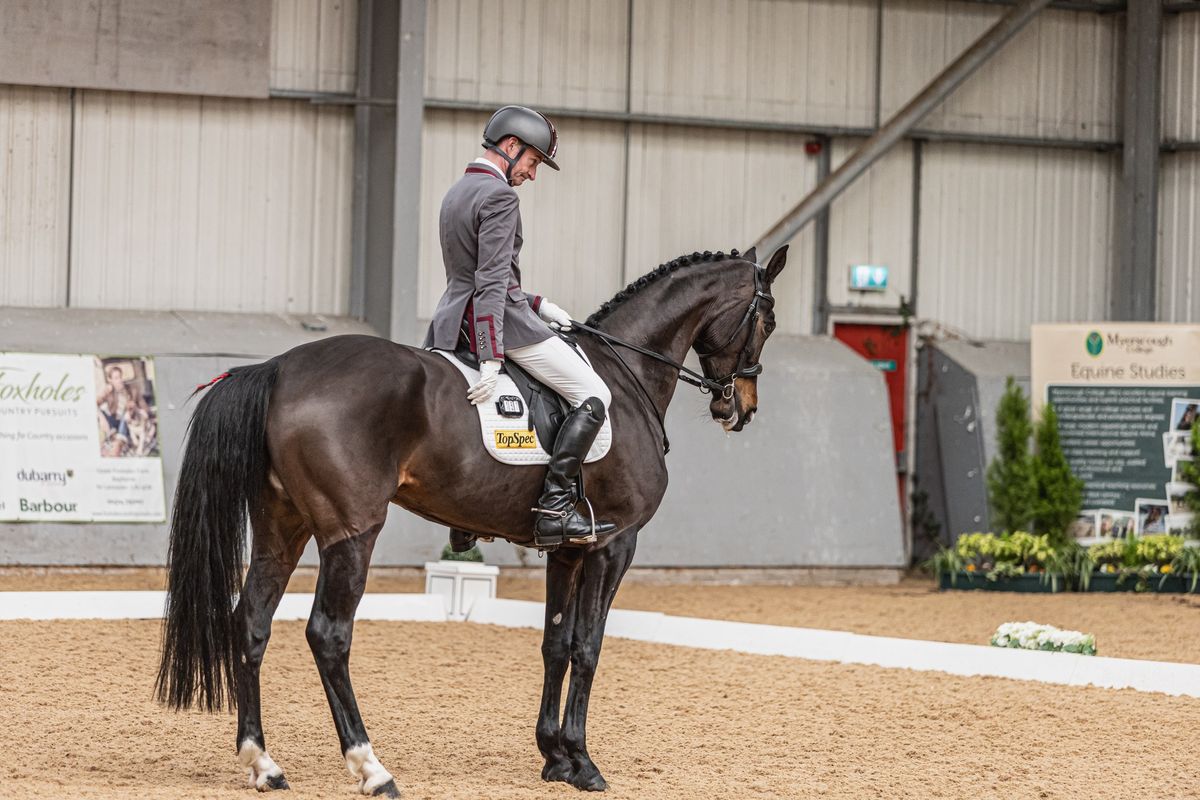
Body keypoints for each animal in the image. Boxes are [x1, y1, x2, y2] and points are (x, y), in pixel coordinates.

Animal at [159, 247, 792, 796]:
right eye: (767, 318)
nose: (739, 408)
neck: (626, 373)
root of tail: (280, 368)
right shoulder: (614, 544)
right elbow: (588, 646)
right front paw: (583, 763)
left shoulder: (567, 549)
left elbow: (555, 643)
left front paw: (555, 757)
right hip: (351, 532)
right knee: (328, 634)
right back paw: (372, 769)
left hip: (280, 529)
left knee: (251, 623)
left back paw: (263, 763)